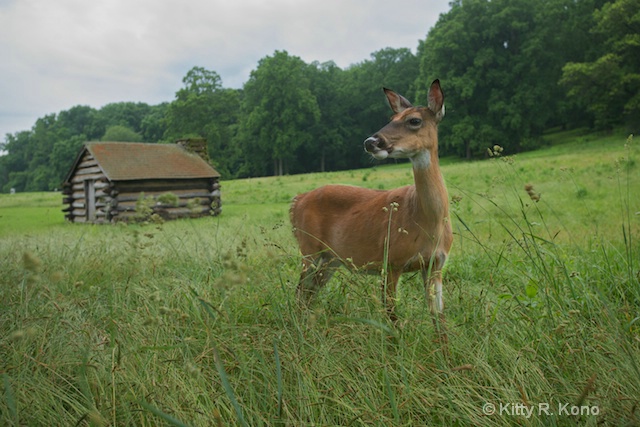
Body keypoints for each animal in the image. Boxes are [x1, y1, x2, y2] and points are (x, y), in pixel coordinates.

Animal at [290, 78, 450, 336]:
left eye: (414, 120)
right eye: (391, 118)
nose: (371, 142)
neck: (428, 222)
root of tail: (297, 200)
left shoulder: (436, 264)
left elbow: (439, 318)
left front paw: (444, 347)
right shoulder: (391, 259)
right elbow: (392, 314)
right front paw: (398, 342)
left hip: (330, 258)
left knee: (309, 293)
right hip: (308, 248)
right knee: (300, 292)